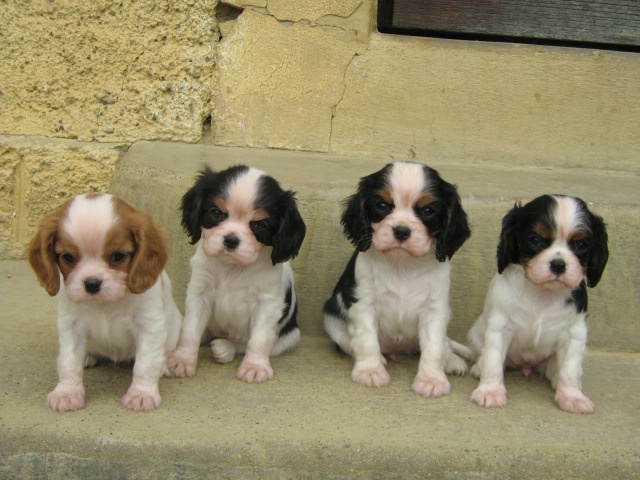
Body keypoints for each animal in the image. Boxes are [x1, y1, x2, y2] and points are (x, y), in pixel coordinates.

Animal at [27, 195, 181, 412]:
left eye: (118, 256)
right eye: (68, 258)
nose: (91, 283)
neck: (105, 304)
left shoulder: (149, 325)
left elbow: (146, 362)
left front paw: (142, 394)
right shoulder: (71, 326)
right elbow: (68, 361)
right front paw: (67, 393)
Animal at [169, 164, 306, 382]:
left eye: (259, 225)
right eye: (216, 213)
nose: (231, 240)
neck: (233, 267)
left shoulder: (267, 304)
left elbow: (258, 340)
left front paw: (254, 367)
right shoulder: (200, 293)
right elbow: (190, 332)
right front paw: (183, 360)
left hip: (288, 338)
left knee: (243, 344)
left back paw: (225, 348)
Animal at [324, 161, 470, 398]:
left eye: (428, 211)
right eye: (382, 205)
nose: (401, 231)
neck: (403, 265)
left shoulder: (435, 310)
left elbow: (434, 347)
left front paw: (431, 380)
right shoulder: (363, 305)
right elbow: (366, 340)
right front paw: (370, 371)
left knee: (443, 344)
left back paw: (451, 360)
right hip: (332, 319)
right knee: (348, 341)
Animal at [470, 194, 608, 412]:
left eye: (581, 245)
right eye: (535, 240)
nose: (558, 265)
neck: (542, 294)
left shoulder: (574, 334)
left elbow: (570, 368)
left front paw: (572, 397)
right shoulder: (499, 327)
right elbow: (493, 361)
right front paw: (490, 391)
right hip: (477, 332)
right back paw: (478, 367)